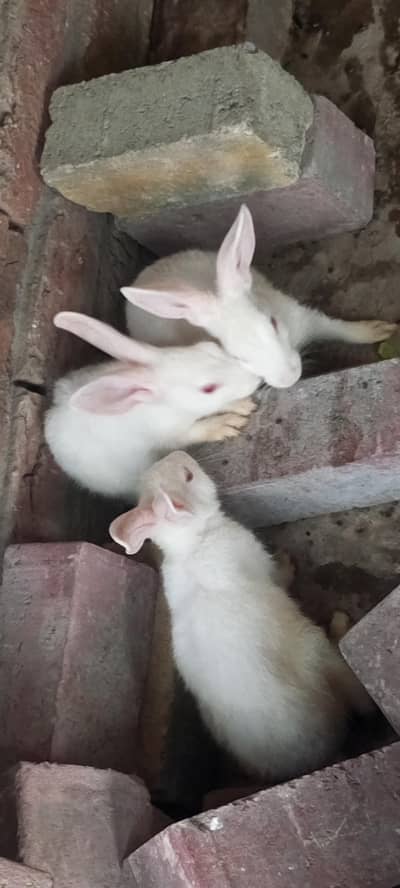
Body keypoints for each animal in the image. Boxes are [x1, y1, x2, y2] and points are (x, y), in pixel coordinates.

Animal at [44, 312, 260, 500]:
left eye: (211, 347)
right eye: (208, 388)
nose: (256, 377)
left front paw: (242, 405)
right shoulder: (173, 433)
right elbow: (198, 430)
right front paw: (227, 425)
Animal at [109, 450, 373, 783]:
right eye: (188, 476)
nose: (182, 453)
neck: (193, 541)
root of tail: (312, 760)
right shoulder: (261, 566)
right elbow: (280, 576)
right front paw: (287, 562)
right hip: (318, 652)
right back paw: (341, 625)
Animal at [121, 204, 397, 389]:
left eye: (273, 323)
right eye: (236, 357)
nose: (289, 379)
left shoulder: (304, 318)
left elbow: (338, 328)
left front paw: (379, 330)